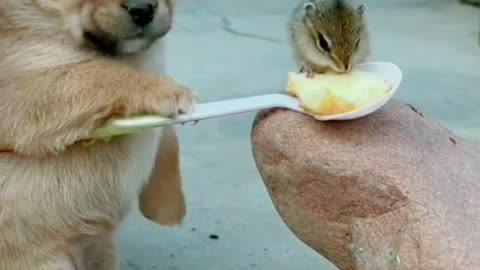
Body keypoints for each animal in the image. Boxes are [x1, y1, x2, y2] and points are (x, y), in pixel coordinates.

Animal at [0, 0, 195, 268]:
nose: (142, 9)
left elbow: (168, 144)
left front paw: (168, 206)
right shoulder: (27, 83)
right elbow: (99, 74)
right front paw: (164, 90)